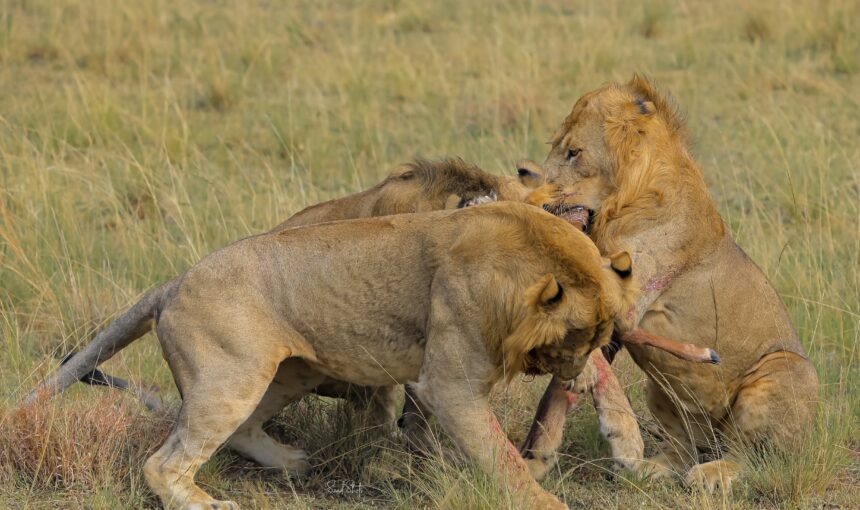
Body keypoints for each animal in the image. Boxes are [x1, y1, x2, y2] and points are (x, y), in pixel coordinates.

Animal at [30, 201, 640, 508]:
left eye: (597, 340)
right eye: (571, 340)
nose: (572, 373)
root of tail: (174, 282)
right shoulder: (447, 385)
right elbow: (499, 454)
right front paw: (542, 499)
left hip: (285, 371)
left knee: (242, 428)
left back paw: (291, 462)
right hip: (232, 376)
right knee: (164, 462)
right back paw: (206, 503)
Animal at [516, 75, 820, 490]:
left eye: (573, 152)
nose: (528, 190)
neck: (621, 204)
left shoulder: (628, 299)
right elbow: (564, 389)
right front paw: (537, 458)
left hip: (784, 370)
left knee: (752, 457)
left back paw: (713, 474)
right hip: (660, 390)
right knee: (684, 447)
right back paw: (653, 468)